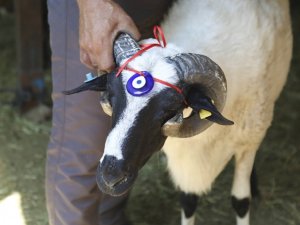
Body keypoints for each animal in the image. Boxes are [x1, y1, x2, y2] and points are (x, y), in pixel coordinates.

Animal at [64, 0, 292, 224]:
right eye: (111, 97)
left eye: (170, 108)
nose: (110, 178)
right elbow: (188, 201)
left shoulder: (249, 141)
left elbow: (241, 202)